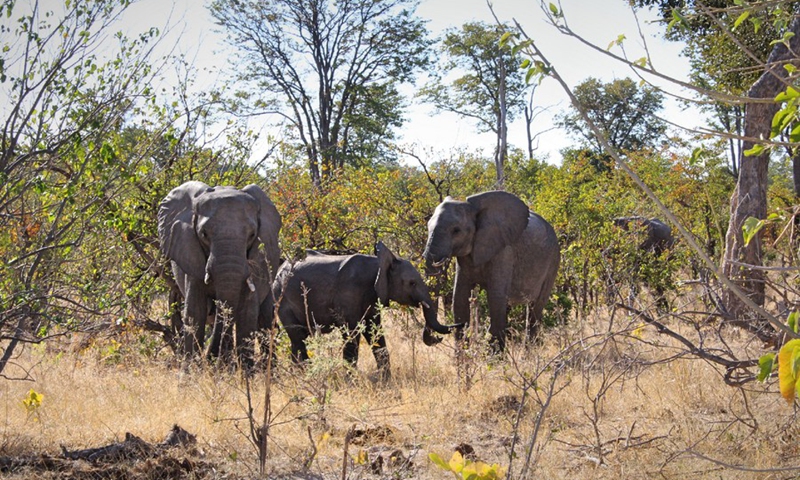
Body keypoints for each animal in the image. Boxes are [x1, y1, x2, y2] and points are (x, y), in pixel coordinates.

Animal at [157, 181, 282, 366]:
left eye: (252, 234)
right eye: (204, 234)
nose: (212, 358)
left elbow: (248, 312)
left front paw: (246, 372)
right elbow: (195, 311)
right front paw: (190, 371)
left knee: (265, 319)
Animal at [271, 241, 454, 379]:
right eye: (412, 283)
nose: (438, 338)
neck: (378, 264)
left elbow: (375, 333)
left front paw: (385, 381)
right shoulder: (349, 293)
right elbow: (351, 335)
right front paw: (351, 381)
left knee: (298, 339)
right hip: (281, 298)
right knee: (298, 337)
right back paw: (307, 375)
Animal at [423, 191, 560, 352]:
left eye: (456, 230)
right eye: (427, 226)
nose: (437, 338)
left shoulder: (504, 253)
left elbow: (495, 299)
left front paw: (495, 357)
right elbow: (459, 300)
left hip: (553, 260)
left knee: (535, 308)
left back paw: (531, 351)